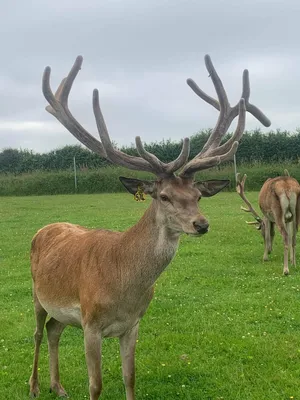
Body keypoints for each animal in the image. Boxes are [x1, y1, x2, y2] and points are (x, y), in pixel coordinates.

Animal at [29, 54, 270, 400]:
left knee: (53, 330)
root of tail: (45, 227)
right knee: (37, 332)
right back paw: (35, 385)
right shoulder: (90, 323)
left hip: (62, 312)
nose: (202, 224)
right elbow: (95, 386)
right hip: (37, 294)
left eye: (198, 195)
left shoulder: (133, 324)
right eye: (165, 196)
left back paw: (57, 386)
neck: (122, 285)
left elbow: (130, 377)